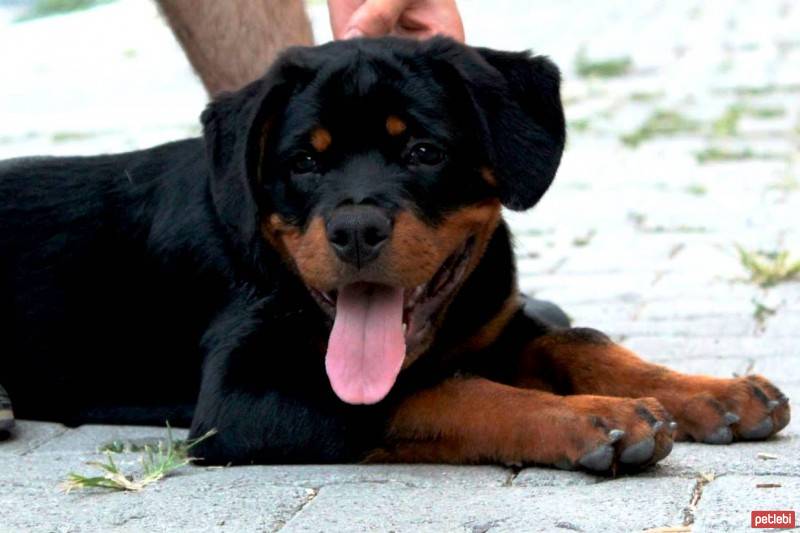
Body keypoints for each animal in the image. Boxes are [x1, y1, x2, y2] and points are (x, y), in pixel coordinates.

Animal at [0, 37, 788, 472]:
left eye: (423, 151)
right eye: (304, 162)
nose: (354, 228)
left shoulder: (495, 322)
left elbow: (579, 339)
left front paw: (714, 392)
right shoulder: (243, 394)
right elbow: (441, 391)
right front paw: (594, 418)